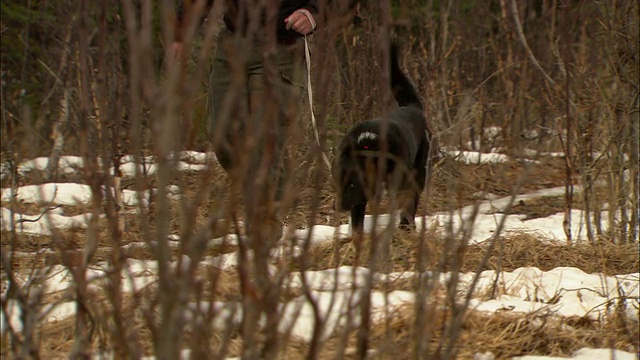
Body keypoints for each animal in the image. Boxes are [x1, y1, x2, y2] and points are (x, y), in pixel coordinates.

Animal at [332, 42, 432, 233]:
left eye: (351, 184)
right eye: (338, 183)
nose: (337, 206)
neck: (369, 149)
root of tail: (412, 106)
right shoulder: (360, 199)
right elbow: (357, 223)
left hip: (418, 173)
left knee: (412, 199)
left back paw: (406, 226)